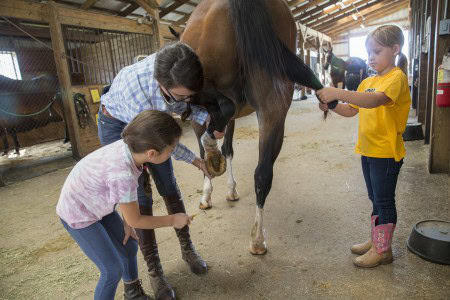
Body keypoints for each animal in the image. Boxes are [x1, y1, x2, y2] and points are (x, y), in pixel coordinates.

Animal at [179, 0, 334, 255]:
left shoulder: (202, 116)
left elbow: (207, 152)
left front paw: (208, 195)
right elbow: (229, 149)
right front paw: (230, 189)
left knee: (222, 117)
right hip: (274, 108)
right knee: (263, 174)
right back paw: (258, 239)